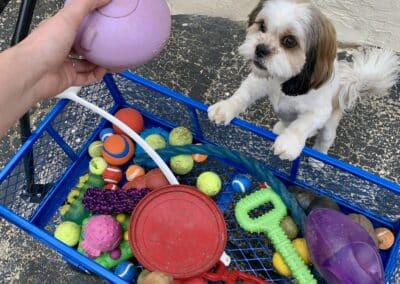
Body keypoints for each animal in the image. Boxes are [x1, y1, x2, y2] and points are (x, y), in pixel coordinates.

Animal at [208, 0, 398, 162]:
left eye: (289, 41)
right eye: (262, 26)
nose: (260, 49)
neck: (284, 80)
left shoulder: (319, 112)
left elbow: (302, 124)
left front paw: (289, 142)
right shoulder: (257, 82)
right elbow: (242, 95)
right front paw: (225, 108)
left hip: (330, 125)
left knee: (324, 140)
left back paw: (318, 158)